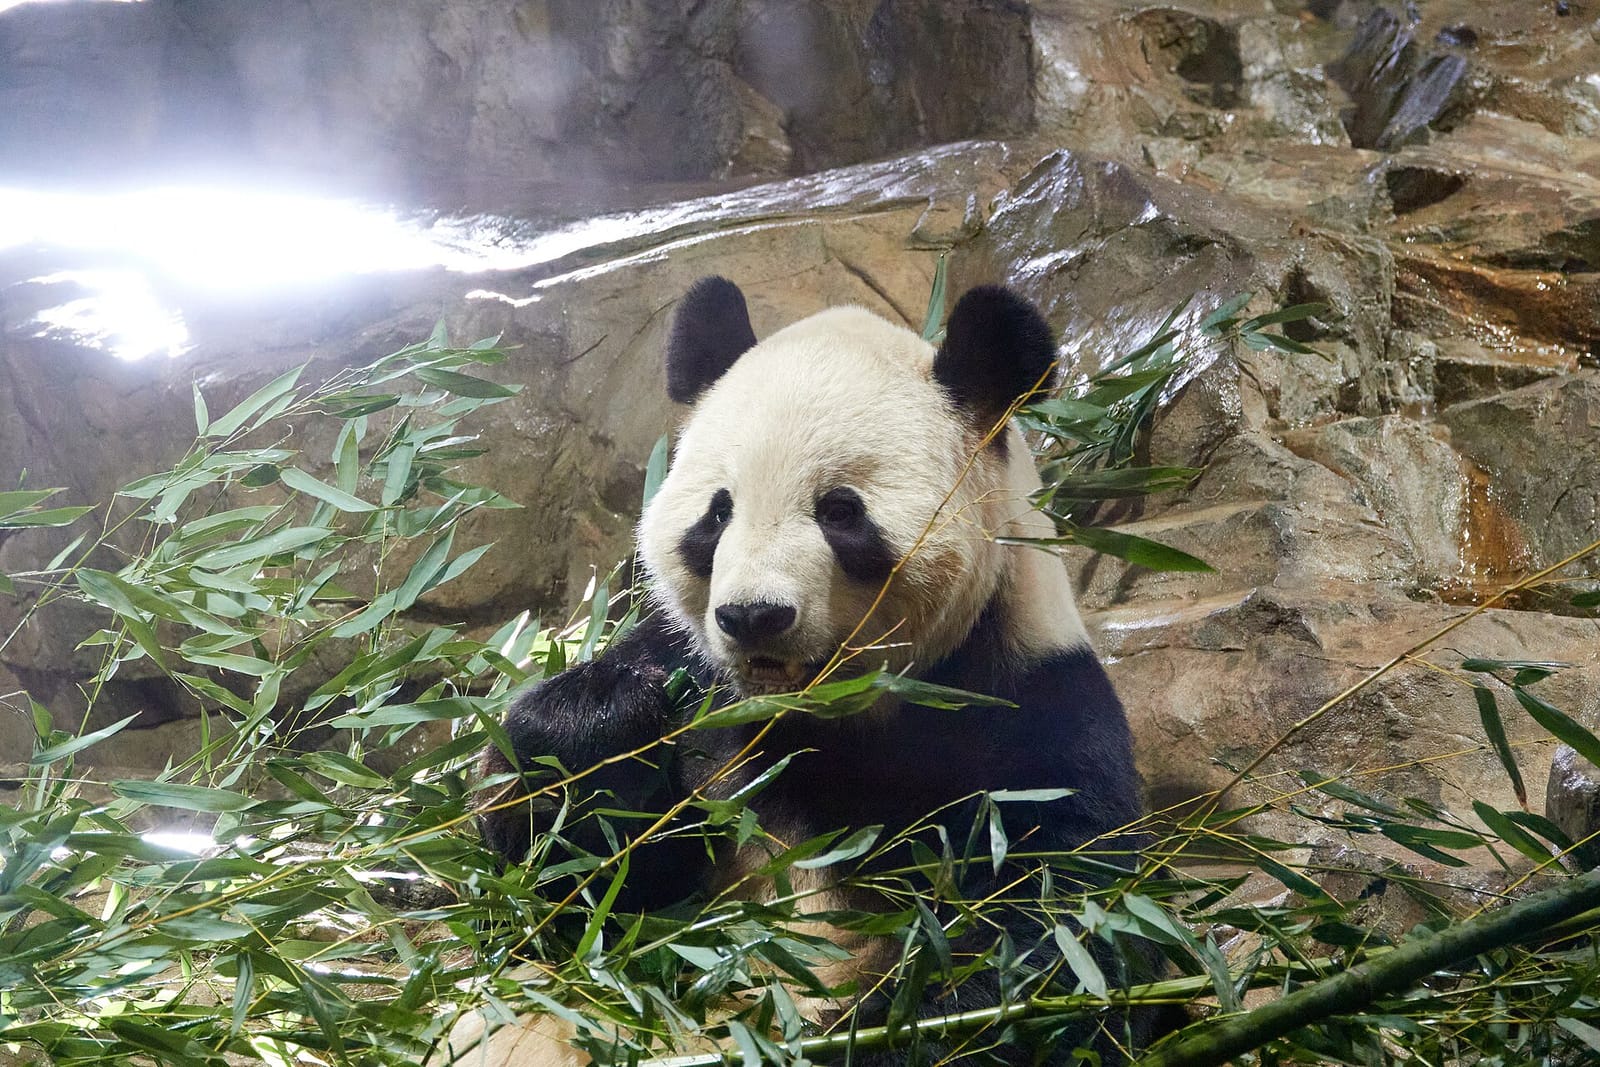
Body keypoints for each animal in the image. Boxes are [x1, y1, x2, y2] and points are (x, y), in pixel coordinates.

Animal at [468, 277, 1154, 1065]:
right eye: (718, 513)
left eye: (840, 512)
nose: (754, 615)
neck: (819, 711)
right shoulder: (705, 700)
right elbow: (571, 895)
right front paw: (602, 717)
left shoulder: (1030, 706)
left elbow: (1062, 927)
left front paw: (880, 1027)